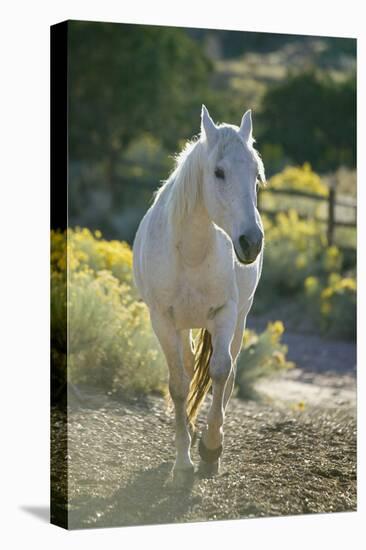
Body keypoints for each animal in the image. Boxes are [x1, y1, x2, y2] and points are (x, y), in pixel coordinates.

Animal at [133, 105, 264, 486]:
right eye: (218, 172)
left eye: (256, 175)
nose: (251, 242)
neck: (190, 252)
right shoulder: (162, 320)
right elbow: (179, 384)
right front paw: (182, 462)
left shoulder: (224, 313)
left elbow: (220, 371)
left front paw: (210, 450)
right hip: (183, 325)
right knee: (190, 366)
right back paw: (189, 432)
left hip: (240, 318)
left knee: (229, 371)